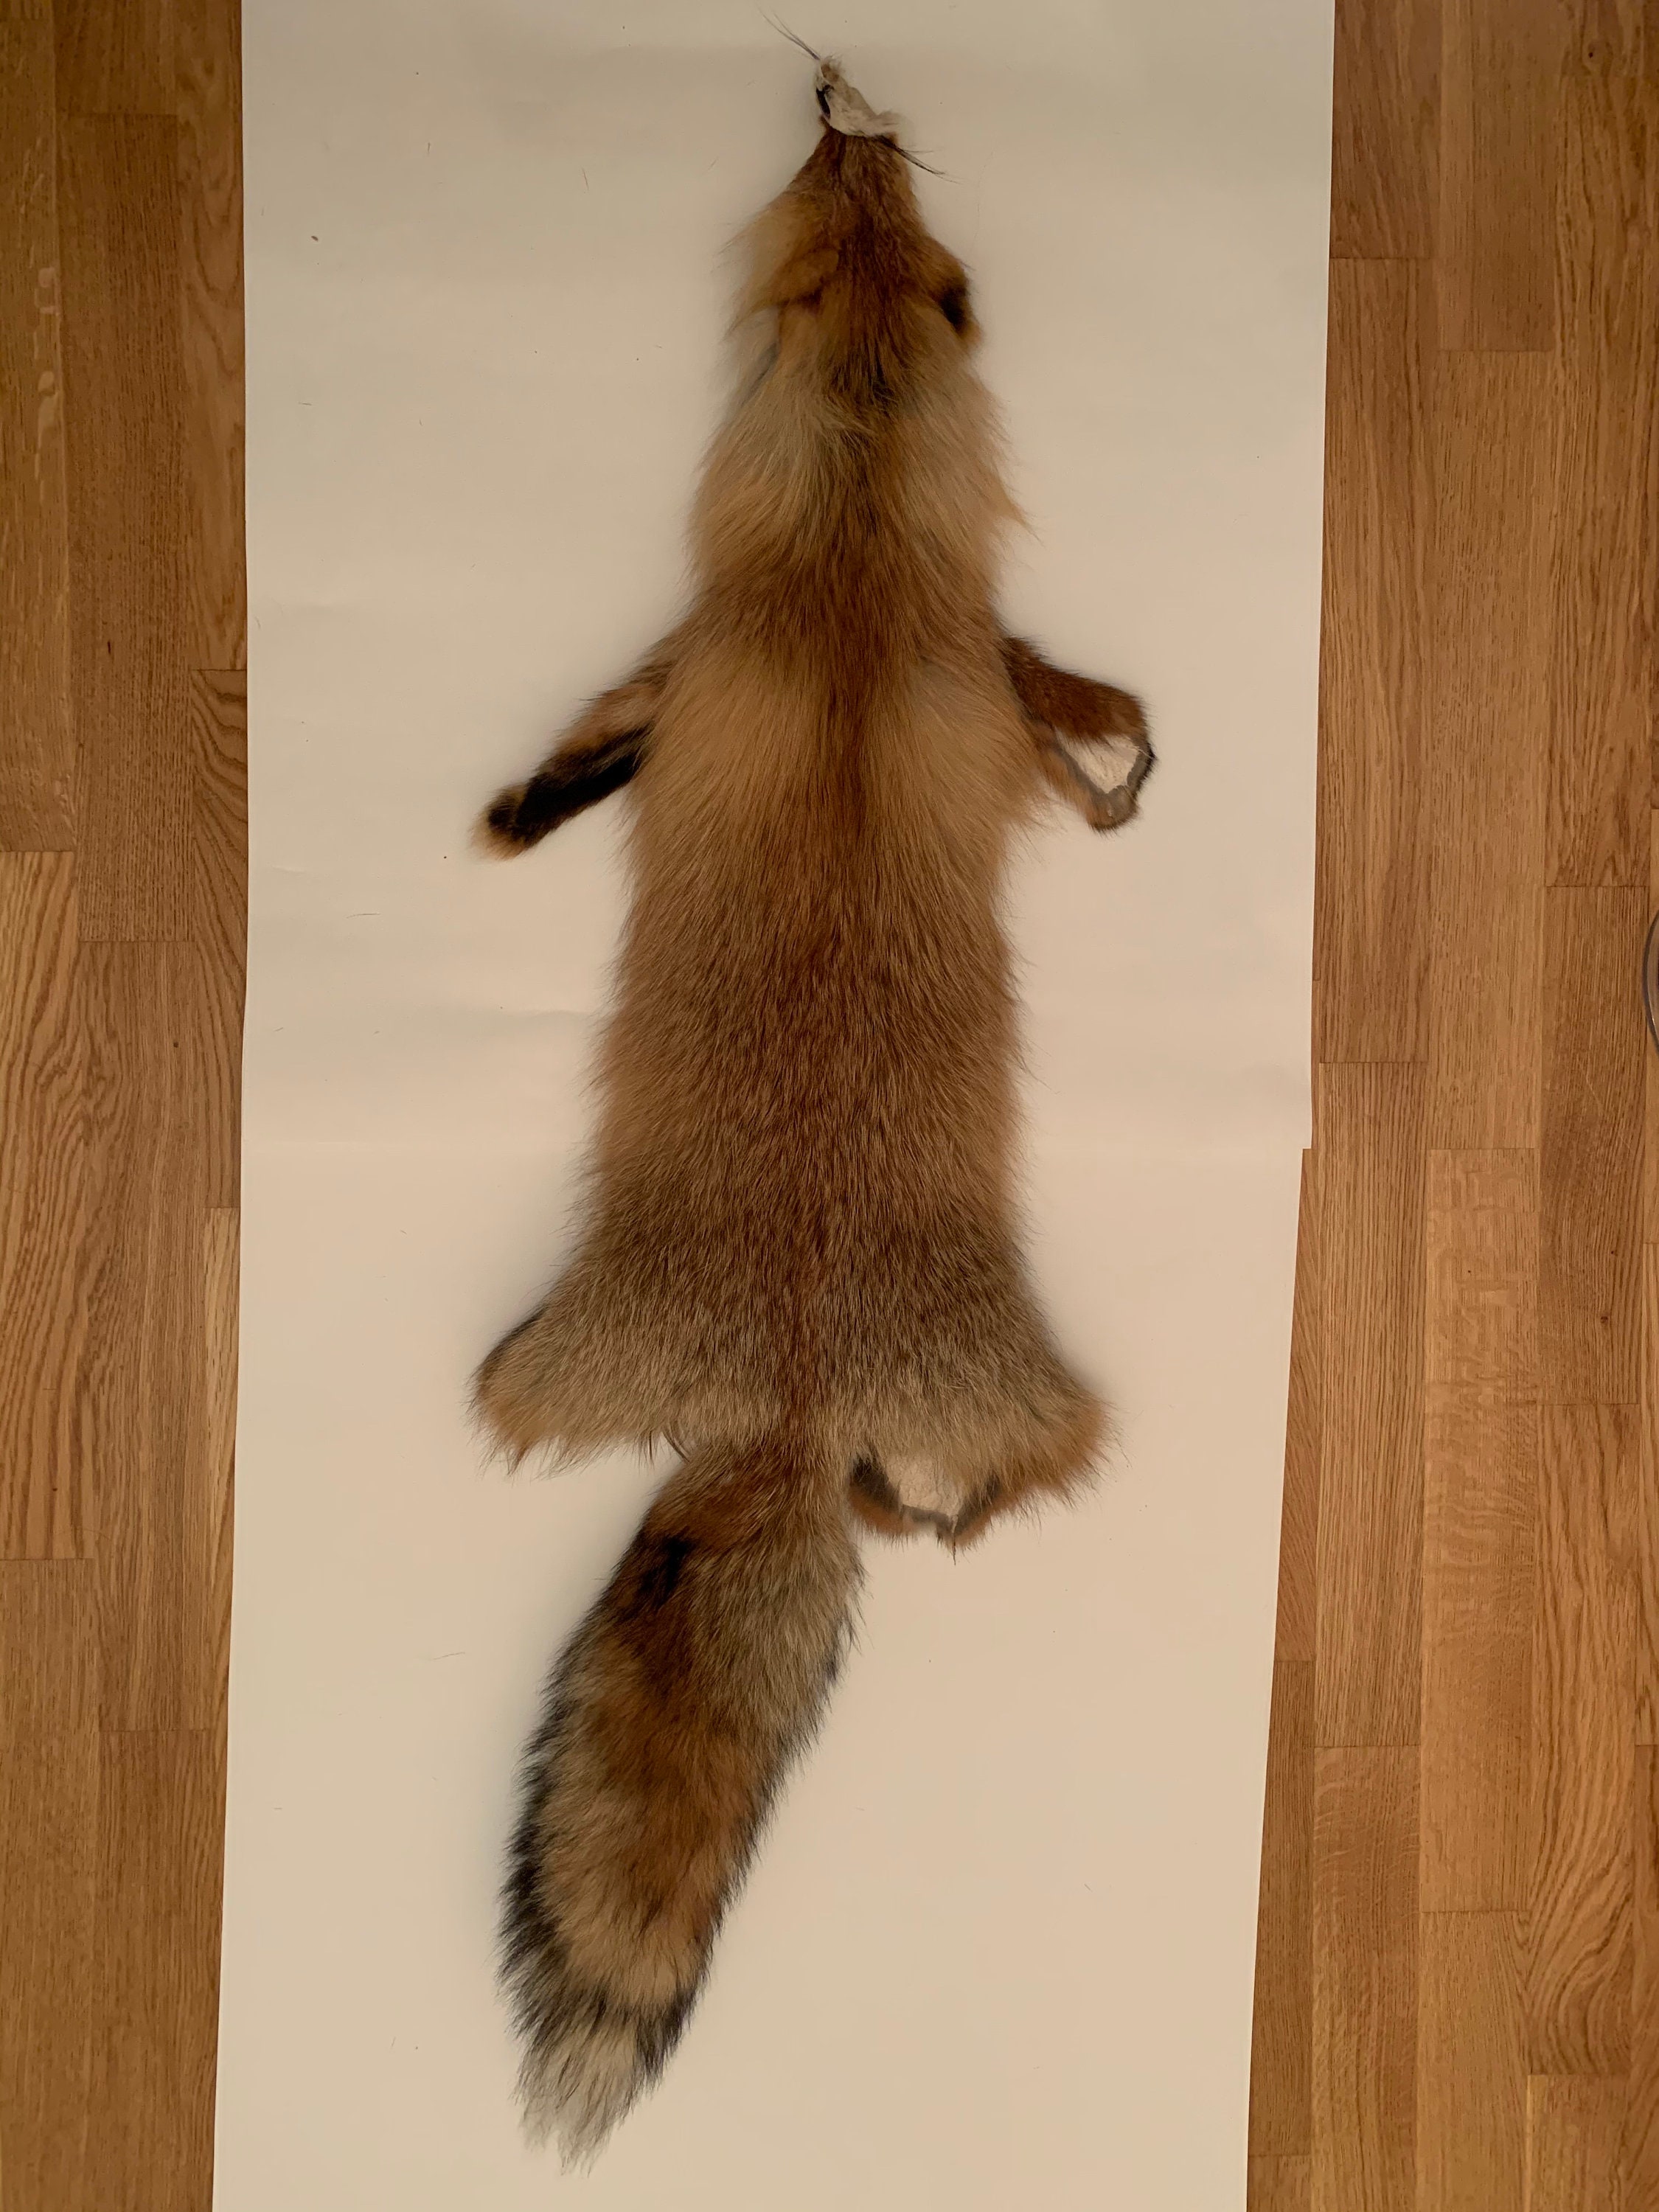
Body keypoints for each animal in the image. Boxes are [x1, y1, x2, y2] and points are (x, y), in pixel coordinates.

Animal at [472, 57, 1152, 2161]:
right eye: (839, 205)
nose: (848, 97)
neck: (848, 573)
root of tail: (784, 1402)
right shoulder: (924, 663)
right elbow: (1055, 716)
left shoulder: (695, 661)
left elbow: (595, 741)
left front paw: (514, 812)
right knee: (959, 1514)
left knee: (985, 1503)